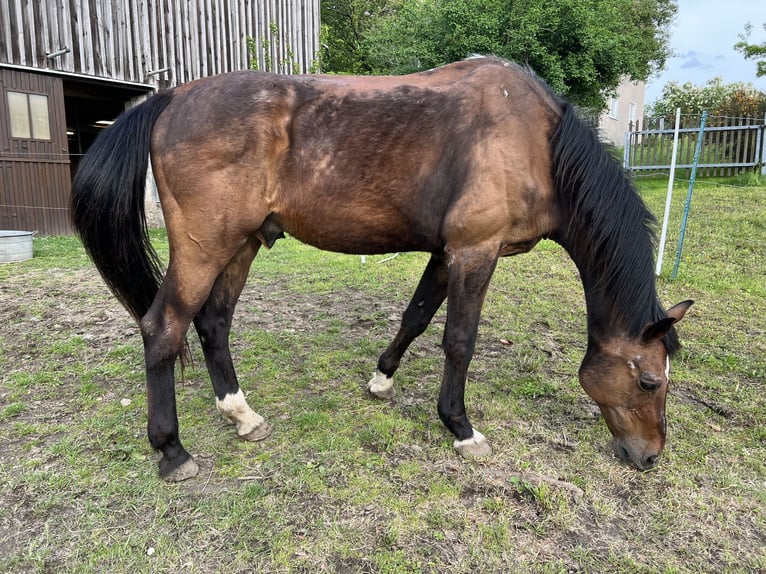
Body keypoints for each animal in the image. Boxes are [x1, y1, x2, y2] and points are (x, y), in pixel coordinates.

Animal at [71, 56, 692, 482]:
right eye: (649, 380)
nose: (650, 457)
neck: (534, 141)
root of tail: (172, 97)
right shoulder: (476, 251)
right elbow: (460, 340)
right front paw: (460, 428)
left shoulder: (446, 253)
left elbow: (415, 317)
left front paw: (381, 380)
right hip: (206, 247)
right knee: (163, 329)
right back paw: (172, 450)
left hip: (241, 243)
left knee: (212, 324)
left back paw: (241, 413)